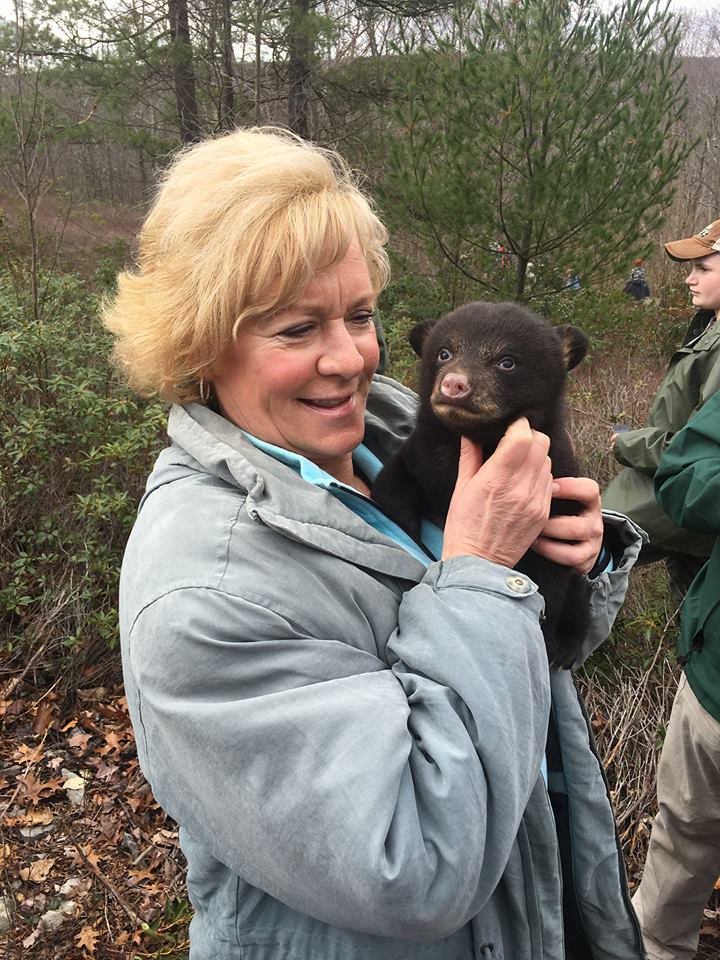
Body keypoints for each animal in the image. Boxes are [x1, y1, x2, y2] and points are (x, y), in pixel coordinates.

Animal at [372, 300, 591, 670]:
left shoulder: (557, 486)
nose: (454, 385)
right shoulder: (423, 456)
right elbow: (393, 479)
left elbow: (550, 573)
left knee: (579, 591)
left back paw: (569, 646)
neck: (476, 441)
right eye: (444, 353)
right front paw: (406, 525)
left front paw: (547, 639)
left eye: (507, 361)